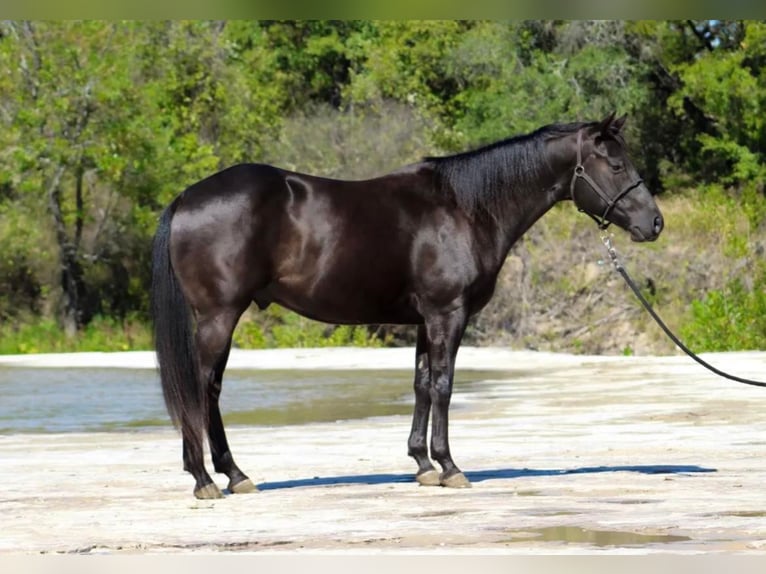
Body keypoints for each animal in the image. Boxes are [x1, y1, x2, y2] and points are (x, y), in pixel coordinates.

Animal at [152, 112, 664, 500]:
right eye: (615, 164)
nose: (654, 222)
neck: (466, 208)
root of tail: (186, 197)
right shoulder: (448, 314)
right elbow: (443, 386)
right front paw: (450, 466)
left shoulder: (424, 320)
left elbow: (420, 384)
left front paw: (422, 463)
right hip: (219, 317)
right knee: (202, 389)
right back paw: (209, 478)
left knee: (208, 390)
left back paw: (230, 475)